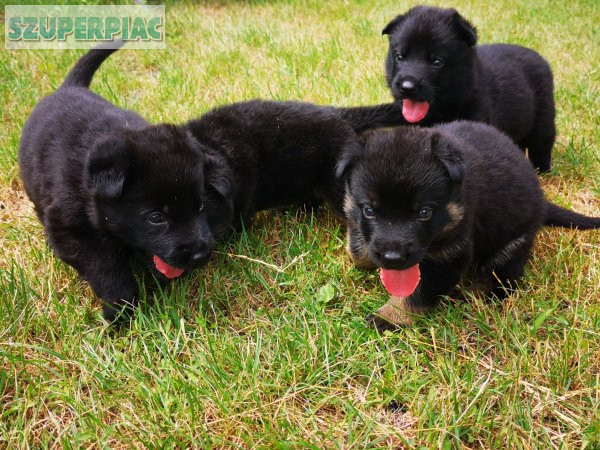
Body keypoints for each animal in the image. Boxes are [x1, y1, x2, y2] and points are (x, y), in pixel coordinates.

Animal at [340, 122, 600, 326]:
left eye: (424, 212)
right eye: (369, 210)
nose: (392, 259)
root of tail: (542, 200)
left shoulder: (450, 253)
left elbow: (418, 291)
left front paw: (389, 316)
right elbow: (358, 249)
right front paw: (362, 256)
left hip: (514, 242)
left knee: (501, 279)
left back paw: (471, 292)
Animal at [382, 6, 556, 173]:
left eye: (437, 61)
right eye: (399, 56)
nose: (407, 87)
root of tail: (537, 56)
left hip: (543, 119)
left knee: (542, 145)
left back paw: (542, 170)